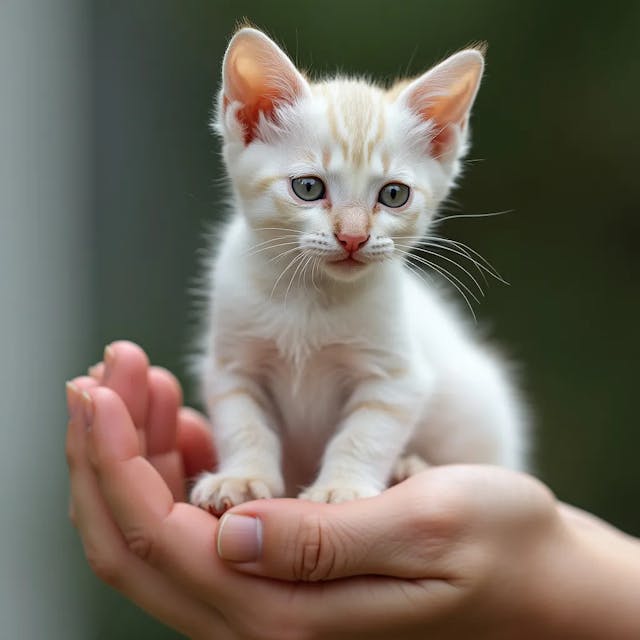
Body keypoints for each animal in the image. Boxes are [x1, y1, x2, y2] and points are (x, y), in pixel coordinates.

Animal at [191, 28, 528, 516]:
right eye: (308, 187)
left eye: (393, 195)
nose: (353, 236)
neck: (310, 297)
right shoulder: (231, 366)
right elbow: (244, 424)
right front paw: (241, 477)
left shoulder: (396, 379)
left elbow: (364, 435)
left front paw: (342, 488)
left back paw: (410, 467)